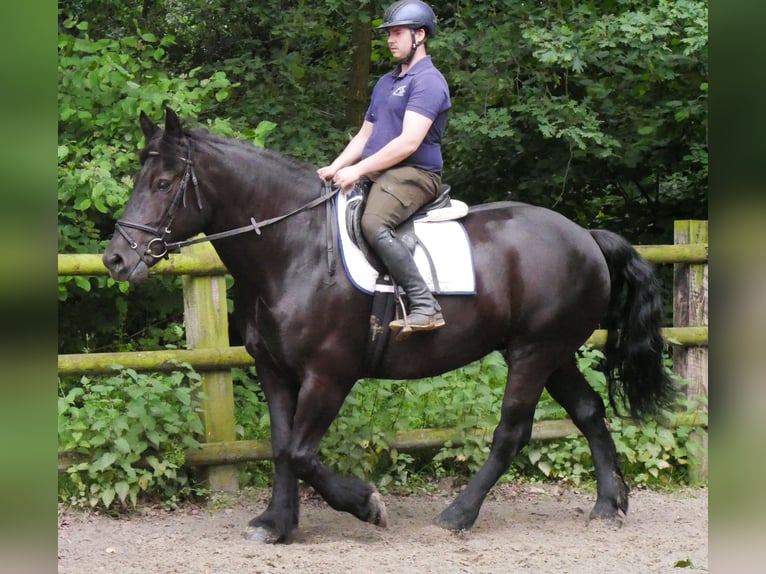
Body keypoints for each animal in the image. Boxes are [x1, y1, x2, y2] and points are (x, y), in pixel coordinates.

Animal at [103, 107, 675, 543]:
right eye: (139, 180)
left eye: (163, 183)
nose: (116, 259)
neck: (294, 249)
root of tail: (584, 236)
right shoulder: (274, 371)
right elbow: (281, 447)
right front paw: (276, 523)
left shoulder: (329, 375)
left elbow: (301, 452)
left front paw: (366, 504)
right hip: (551, 353)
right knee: (589, 411)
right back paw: (609, 504)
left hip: (534, 352)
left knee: (513, 431)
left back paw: (458, 515)